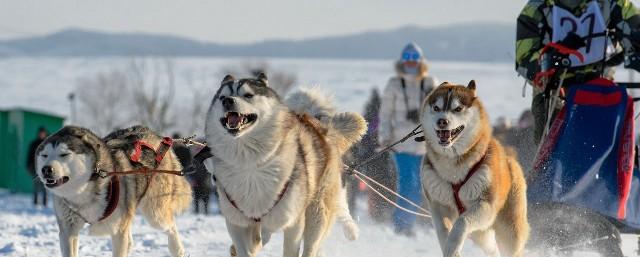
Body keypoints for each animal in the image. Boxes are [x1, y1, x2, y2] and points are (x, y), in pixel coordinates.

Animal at [34, 125, 191, 256]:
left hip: (155, 213)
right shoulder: (68, 230)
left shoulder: (118, 232)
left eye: (64, 154)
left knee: (170, 226)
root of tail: (156, 135)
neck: (82, 193)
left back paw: (177, 249)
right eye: (45, 155)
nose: (46, 169)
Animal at [205, 73, 364, 256]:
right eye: (222, 96)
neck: (250, 163)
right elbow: (245, 248)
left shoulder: (293, 221)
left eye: (248, 95)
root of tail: (319, 125)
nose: (228, 101)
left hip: (317, 212)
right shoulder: (236, 222)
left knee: (311, 246)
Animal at [420, 80, 528, 256]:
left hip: (509, 230)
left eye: (457, 108)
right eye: (436, 108)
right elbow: (443, 231)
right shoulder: (438, 205)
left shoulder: (485, 205)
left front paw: (452, 246)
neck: (453, 166)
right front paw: (450, 248)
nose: (442, 121)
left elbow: (461, 222)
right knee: (491, 248)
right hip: (480, 234)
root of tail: (510, 159)